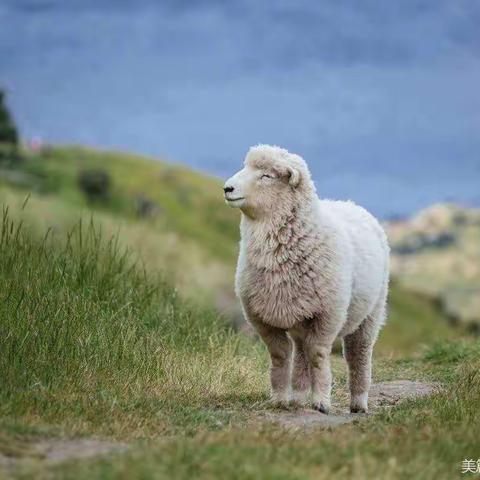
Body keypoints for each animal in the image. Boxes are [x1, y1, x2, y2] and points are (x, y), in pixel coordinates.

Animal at [225, 143, 390, 412]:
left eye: (267, 176)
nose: (227, 188)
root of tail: (350, 203)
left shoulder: (328, 314)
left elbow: (319, 355)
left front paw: (322, 401)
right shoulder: (261, 317)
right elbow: (280, 356)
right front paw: (280, 398)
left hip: (371, 312)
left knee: (358, 354)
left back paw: (358, 402)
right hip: (300, 316)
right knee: (301, 351)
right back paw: (299, 396)